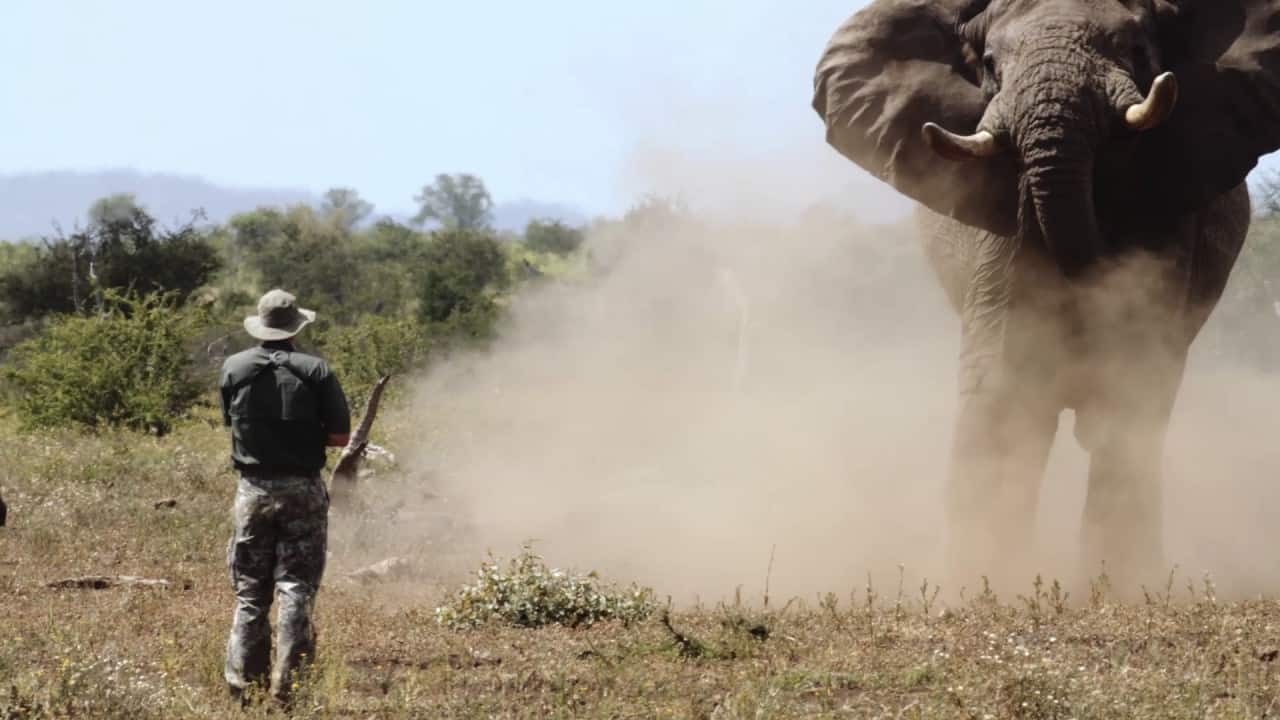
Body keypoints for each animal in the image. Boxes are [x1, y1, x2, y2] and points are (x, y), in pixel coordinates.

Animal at [808, 0, 1280, 586]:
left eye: (1135, 50)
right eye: (989, 63)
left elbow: (1132, 374)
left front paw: (1118, 592)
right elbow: (1003, 379)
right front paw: (980, 589)